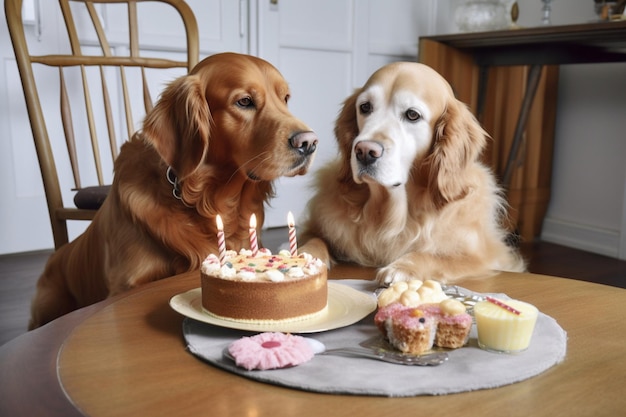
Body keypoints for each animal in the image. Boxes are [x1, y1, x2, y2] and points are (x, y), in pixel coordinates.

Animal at [300, 61, 524, 282]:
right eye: (365, 107)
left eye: (412, 115)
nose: (364, 151)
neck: (388, 213)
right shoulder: (316, 227)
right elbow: (314, 239)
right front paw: (304, 256)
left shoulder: (484, 257)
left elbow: (433, 256)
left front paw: (403, 266)